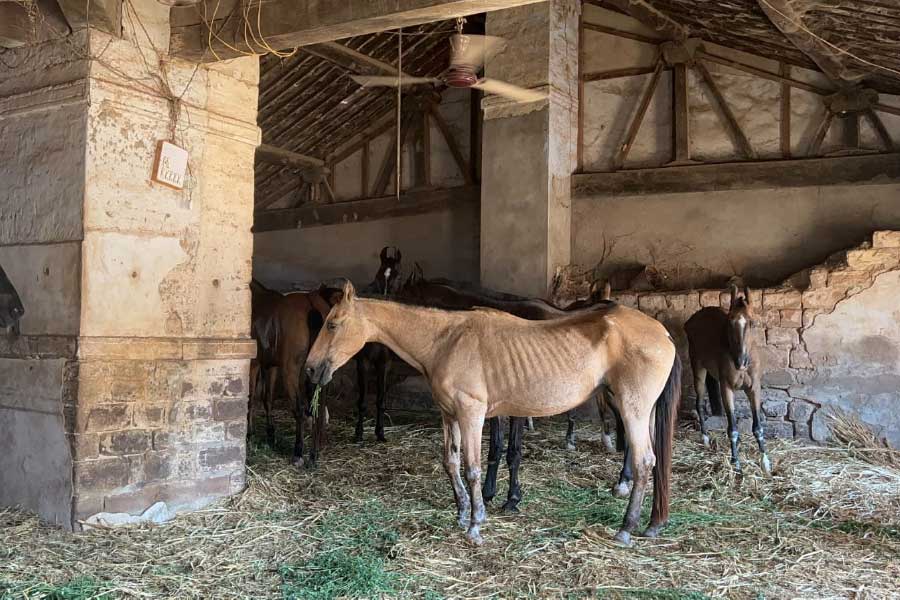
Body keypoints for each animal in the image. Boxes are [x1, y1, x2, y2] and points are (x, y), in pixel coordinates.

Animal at [249, 279, 333, 467]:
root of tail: (311, 302)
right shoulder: (271, 367)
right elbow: (267, 399)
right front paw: (270, 435)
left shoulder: (253, 364)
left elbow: (250, 399)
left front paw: (249, 434)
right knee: (318, 409)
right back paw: (314, 455)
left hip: (291, 372)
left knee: (299, 409)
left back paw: (298, 453)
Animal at [306, 280, 681, 546]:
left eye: (333, 324)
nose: (310, 369)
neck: (446, 340)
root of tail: (663, 332)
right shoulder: (450, 415)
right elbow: (451, 462)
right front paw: (462, 512)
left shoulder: (472, 414)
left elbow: (473, 468)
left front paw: (476, 523)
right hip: (642, 412)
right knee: (647, 460)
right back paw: (650, 524)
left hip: (632, 408)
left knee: (645, 461)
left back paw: (626, 529)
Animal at [685, 285, 769, 474]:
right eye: (730, 322)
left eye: (752, 322)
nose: (741, 362)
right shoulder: (727, 388)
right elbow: (732, 429)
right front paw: (736, 463)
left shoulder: (754, 389)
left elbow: (758, 427)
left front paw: (765, 462)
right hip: (698, 369)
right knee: (699, 404)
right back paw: (705, 438)